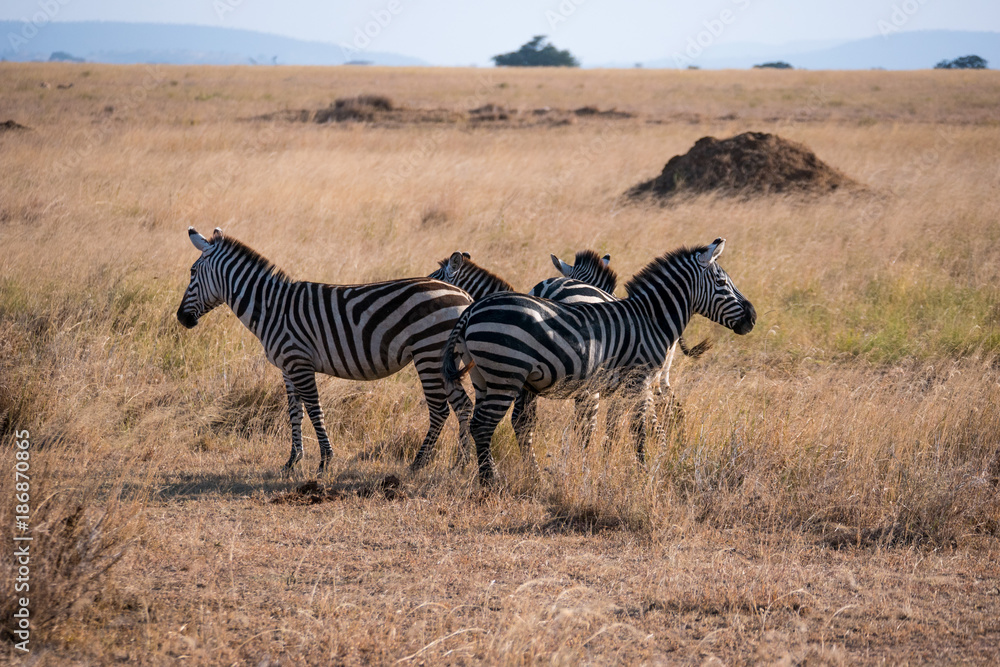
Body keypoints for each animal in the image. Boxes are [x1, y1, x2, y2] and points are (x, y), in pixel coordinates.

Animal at [176, 227, 474, 473]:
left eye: (192, 272)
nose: (181, 318)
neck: (272, 307)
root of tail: (464, 295)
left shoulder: (299, 363)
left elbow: (314, 410)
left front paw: (325, 461)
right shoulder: (288, 367)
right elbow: (294, 412)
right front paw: (292, 461)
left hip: (429, 353)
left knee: (440, 409)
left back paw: (419, 463)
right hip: (445, 359)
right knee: (463, 405)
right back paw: (462, 463)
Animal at [442, 238, 756, 484]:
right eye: (722, 283)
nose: (752, 318)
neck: (650, 319)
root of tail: (471, 310)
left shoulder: (623, 388)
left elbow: (616, 429)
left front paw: (610, 466)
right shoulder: (638, 381)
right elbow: (637, 429)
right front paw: (643, 472)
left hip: (485, 378)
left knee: (491, 423)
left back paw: (504, 476)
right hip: (505, 375)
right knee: (483, 425)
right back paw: (490, 481)